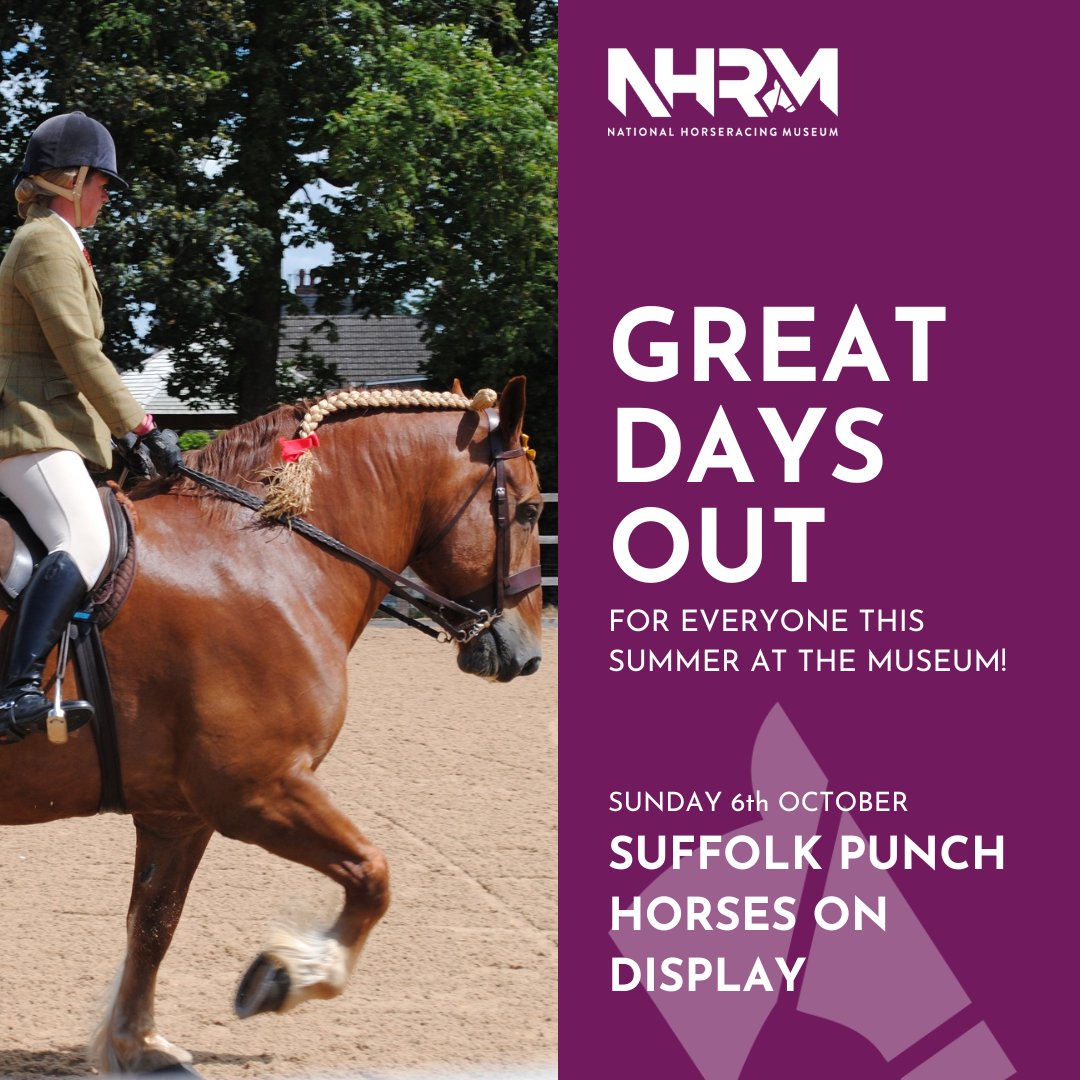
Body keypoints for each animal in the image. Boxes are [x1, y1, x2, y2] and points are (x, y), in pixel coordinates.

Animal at [0, 377, 543, 1075]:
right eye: (528, 512)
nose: (528, 655)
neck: (266, 555)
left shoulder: (179, 813)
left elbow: (154, 923)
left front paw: (137, 1044)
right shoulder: (257, 790)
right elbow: (373, 874)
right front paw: (288, 975)